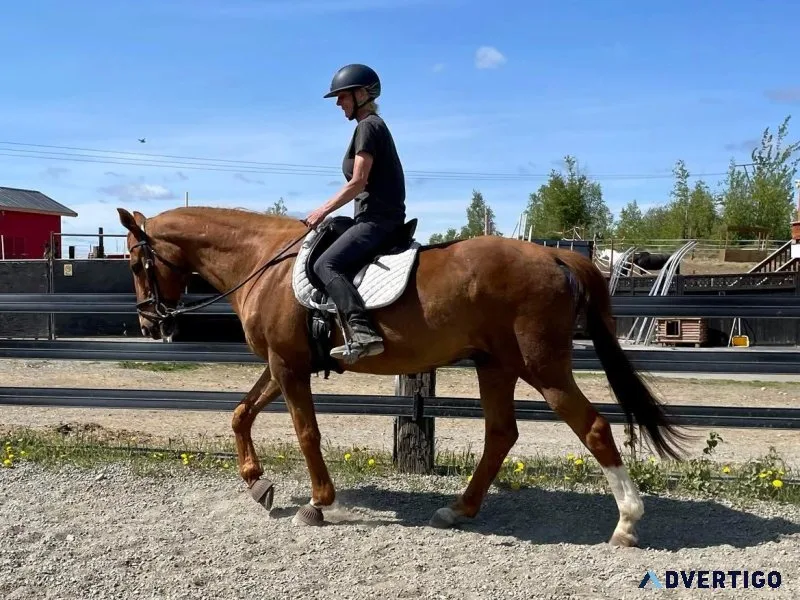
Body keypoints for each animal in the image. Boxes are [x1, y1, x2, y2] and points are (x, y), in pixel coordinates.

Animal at [116, 205, 687, 546]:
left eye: (136, 264)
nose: (148, 324)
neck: (266, 265)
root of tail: (555, 254)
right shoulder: (283, 365)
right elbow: (240, 413)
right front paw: (258, 485)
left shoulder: (288, 367)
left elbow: (306, 433)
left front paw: (318, 504)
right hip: (496, 365)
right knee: (501, 434)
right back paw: (458, 510)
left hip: (542, 367)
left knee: (592, 427)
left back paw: (626, 524)